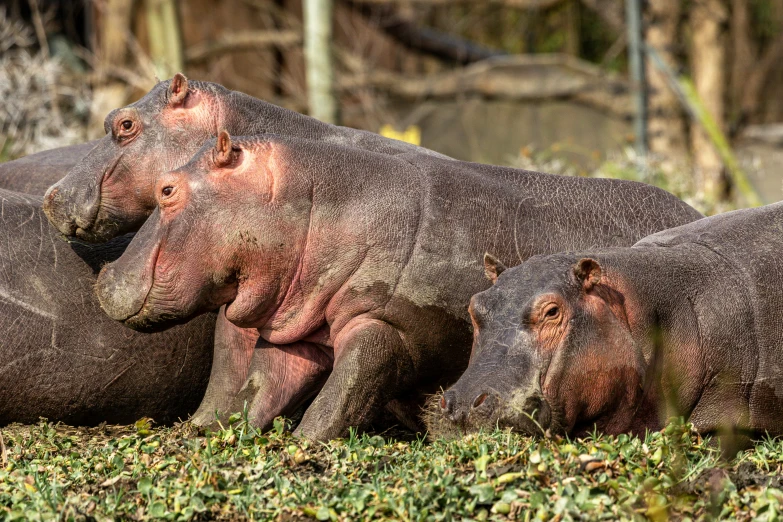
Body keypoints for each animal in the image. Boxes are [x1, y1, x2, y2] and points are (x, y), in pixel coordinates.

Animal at [93, 133, 704, 438]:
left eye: (167, 189)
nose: (103, 278)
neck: (316, 202)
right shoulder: (298, 329)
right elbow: (261, 387)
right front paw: (216, 438)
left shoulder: (386, 326)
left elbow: (342, 394)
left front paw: (301, 446)